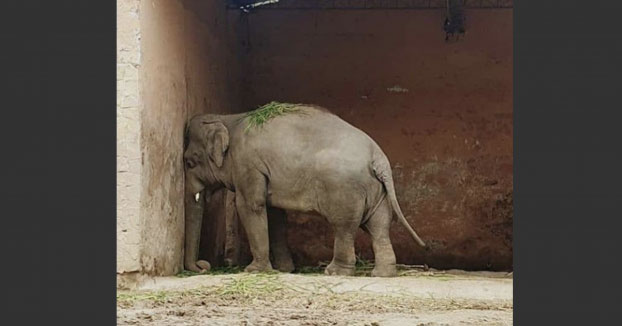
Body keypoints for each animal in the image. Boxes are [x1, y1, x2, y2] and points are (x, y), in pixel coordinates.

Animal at [183, 103, 426, 276]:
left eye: (189, 162)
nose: (203, 265)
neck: (227, 118)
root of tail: (378, 157)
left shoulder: (248, 164)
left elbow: (251, 206)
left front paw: (254, 270)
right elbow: (274, 215)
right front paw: (284, 270)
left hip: (345, 188)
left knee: (344, 226)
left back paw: (335, 272)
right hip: (377, 190)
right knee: (379, 225)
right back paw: (382, 274)